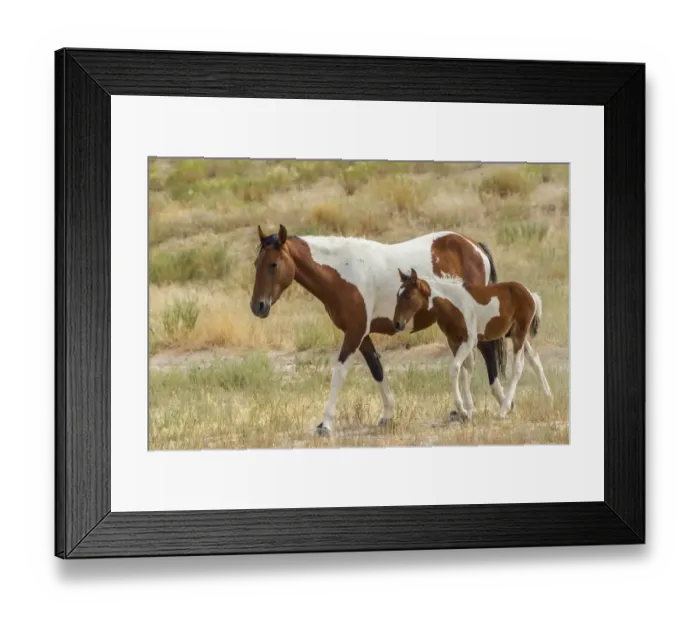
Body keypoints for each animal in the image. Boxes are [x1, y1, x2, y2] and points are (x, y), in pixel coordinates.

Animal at [250, 224, 508, 436]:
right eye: (256, 264)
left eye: (273, 264)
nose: (257, 306)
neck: (343, 273)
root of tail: (475, 246)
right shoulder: (361, 335)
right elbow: (377, 369)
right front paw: (387, 414)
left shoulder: (354, 333)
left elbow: (339, 373)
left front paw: (325, 424)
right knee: (467, 362)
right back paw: (466, 410)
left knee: (487, 353)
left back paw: (502, 402)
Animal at [393, 268, 552, 421]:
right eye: (397, 295)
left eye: (408, 296)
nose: (397, 324)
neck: (453, 305)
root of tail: (530, 294)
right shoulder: (454, 342)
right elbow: (465, 371)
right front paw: (469, 410)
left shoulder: (469, 341)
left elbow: (455, 369)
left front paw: (462, 409)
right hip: (515, 335)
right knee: (535, 359)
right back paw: (548, 399)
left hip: (519, 334)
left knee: (518, 368)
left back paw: (503, 410)